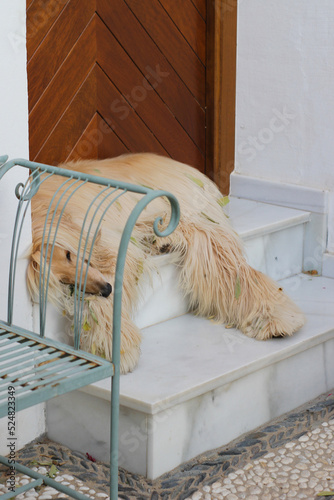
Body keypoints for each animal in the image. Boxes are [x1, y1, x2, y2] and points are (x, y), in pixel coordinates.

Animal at [28, 154, 306, 374]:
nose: (106, 289)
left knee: (225, 263)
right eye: (63, 279)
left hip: (180, 214)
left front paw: (117, 346)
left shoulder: (105, 243)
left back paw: (275, 317)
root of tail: (183, 166)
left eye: (68, 254)